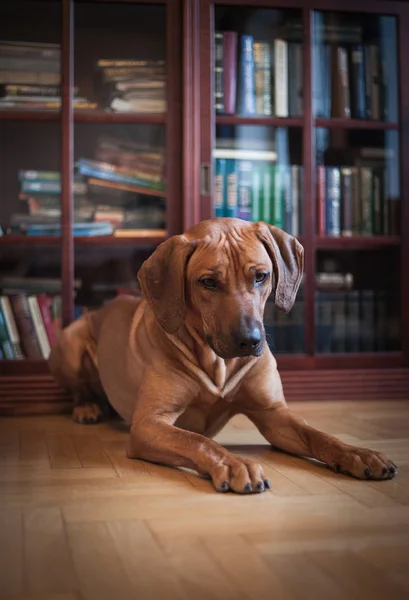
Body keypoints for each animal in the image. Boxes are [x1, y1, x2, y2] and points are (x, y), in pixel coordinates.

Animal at [47, 219, 396, 492]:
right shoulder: (148, 424)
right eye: (208, 282)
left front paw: (357, 453)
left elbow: (317, 434)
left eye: (261, 276)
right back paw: (87, 407)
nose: (250, 341)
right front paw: (234, 463)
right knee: (79, 387)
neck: (217, 361)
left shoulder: (273, 413)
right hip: (69, 342)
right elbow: (197, 440)